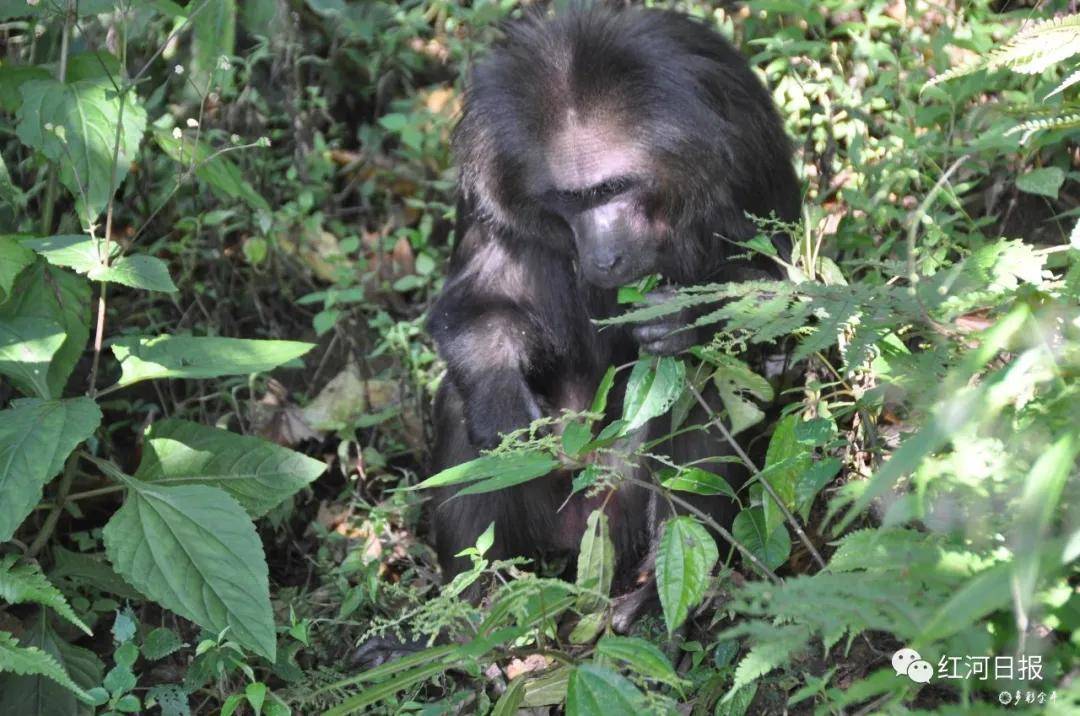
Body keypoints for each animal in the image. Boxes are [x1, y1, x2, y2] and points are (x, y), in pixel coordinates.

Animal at [423, 2, 803, 622]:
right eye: (569, 199)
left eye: (614, 188)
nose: (604, 256)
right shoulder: (486, 175)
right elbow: (474, 304)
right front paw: (500, 399)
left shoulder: (744, 139)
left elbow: (780, 293)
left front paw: (682, 318)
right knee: (459, 402)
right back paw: (478, 611)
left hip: (615, 507)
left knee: (702, 382)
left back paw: (657, 591)